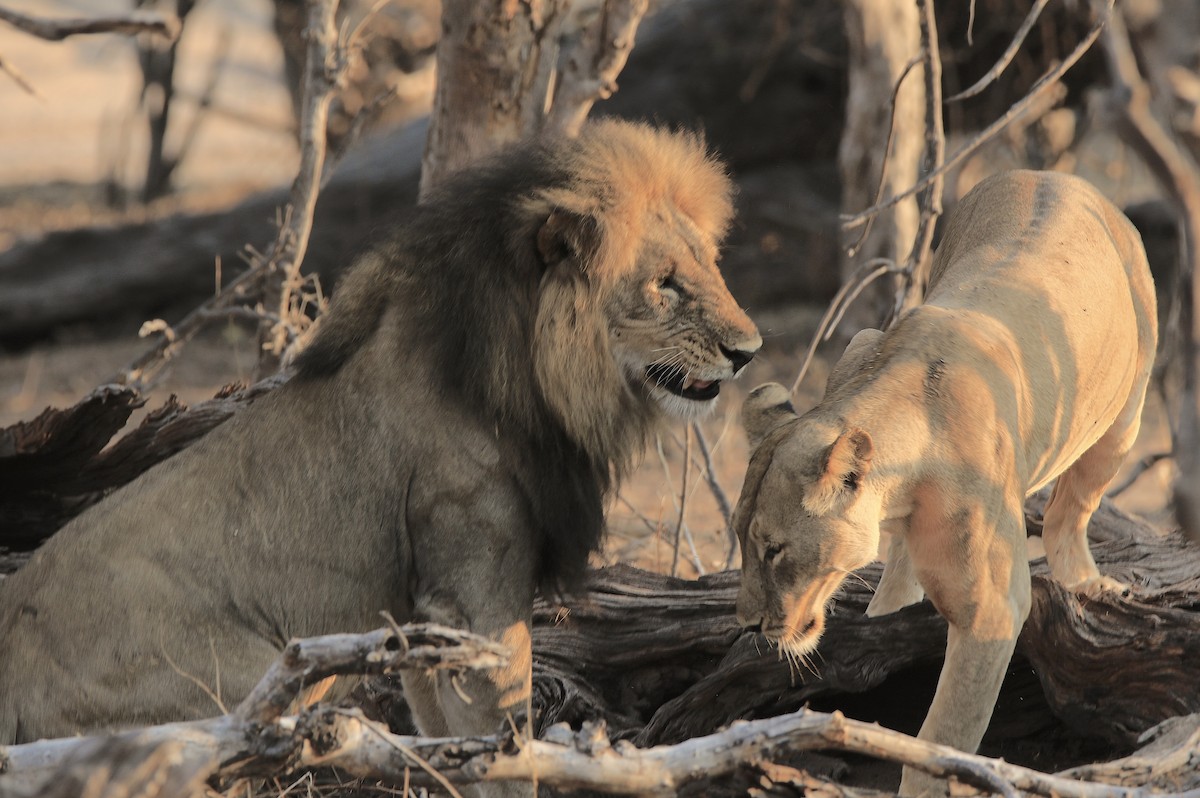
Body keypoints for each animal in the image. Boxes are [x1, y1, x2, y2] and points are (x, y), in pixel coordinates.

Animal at [0, 120, 761, 795]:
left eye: (710, 265)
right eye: (665, 283)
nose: (749, 351)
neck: (527, 377)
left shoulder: (420, 614)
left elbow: (448, 738)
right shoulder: (477, 594)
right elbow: (507, 742)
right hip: (244, 679)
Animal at [733, 170, 1155, 796]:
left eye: (774, 550)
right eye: (741, 542)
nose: (749, 624)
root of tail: (1055, 174)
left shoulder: (994, 610)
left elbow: (939, 738)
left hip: (1123, 419)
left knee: (1071, 510)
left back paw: (1085, 581)